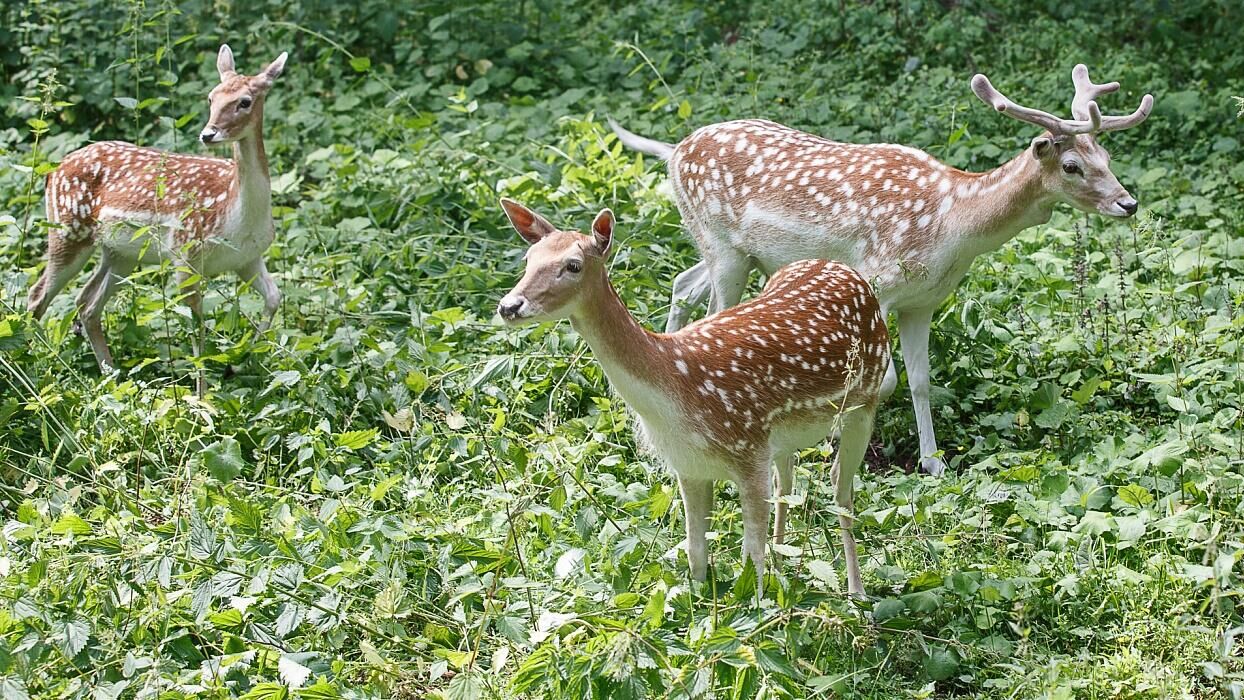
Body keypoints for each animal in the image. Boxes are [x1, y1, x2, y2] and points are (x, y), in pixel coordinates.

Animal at [27, 45, 287, 395]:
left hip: (119, 253)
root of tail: (52, 172)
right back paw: (34, 368)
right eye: (211, 97)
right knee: (37, 295)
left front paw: (246, 359)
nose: (208, 134)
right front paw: (202, 397)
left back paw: (111, 376)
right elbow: (196, 326)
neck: (236, 214)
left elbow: (274, 298)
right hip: (68, 229)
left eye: (244, 101)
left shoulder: (247, 257)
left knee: (87, 303)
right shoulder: (184, 254)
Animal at [495, 196, 895, 596]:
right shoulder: (688, 465)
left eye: (573, 265)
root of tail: (845, 269)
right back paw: (784, 565)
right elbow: (696, 552)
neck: (676, 386)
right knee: (788, 475)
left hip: (866, 399)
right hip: (784, 433)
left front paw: (761, 605)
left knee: (840, 487)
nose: (509, 306)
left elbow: (751, 560)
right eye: (528, 259)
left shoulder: (748, 451)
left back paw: (856, 592)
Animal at [612, 64, 1154, 477]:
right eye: (1071, 166)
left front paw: (934, 463)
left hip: (727, 251)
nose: (1127, 203)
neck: (952, 223)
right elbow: (884, 379)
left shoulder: (924, 301)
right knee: (713, 312)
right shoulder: (875, 277)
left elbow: (920, 379)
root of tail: (674, 151)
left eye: (1106, 155)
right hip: (723, 248)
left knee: (682, 284)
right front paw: (836, 449)